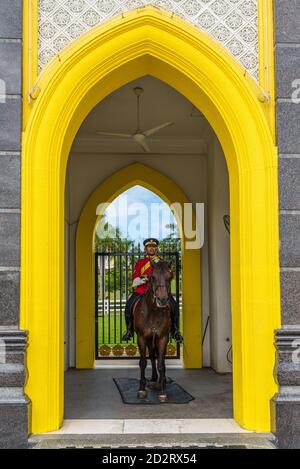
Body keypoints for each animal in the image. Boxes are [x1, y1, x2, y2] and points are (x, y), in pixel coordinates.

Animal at [132, 258, 173, 400]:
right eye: (152, 277)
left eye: (170, 277)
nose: (162, 299)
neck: (153, 311)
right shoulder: (141, 338)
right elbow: (143, 362)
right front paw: (141, 389)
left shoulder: (163, 338)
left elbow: (161, 363)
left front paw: (163, 391)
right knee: (151, 356)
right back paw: (154, 379)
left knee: (158, 358)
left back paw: (160, 381)